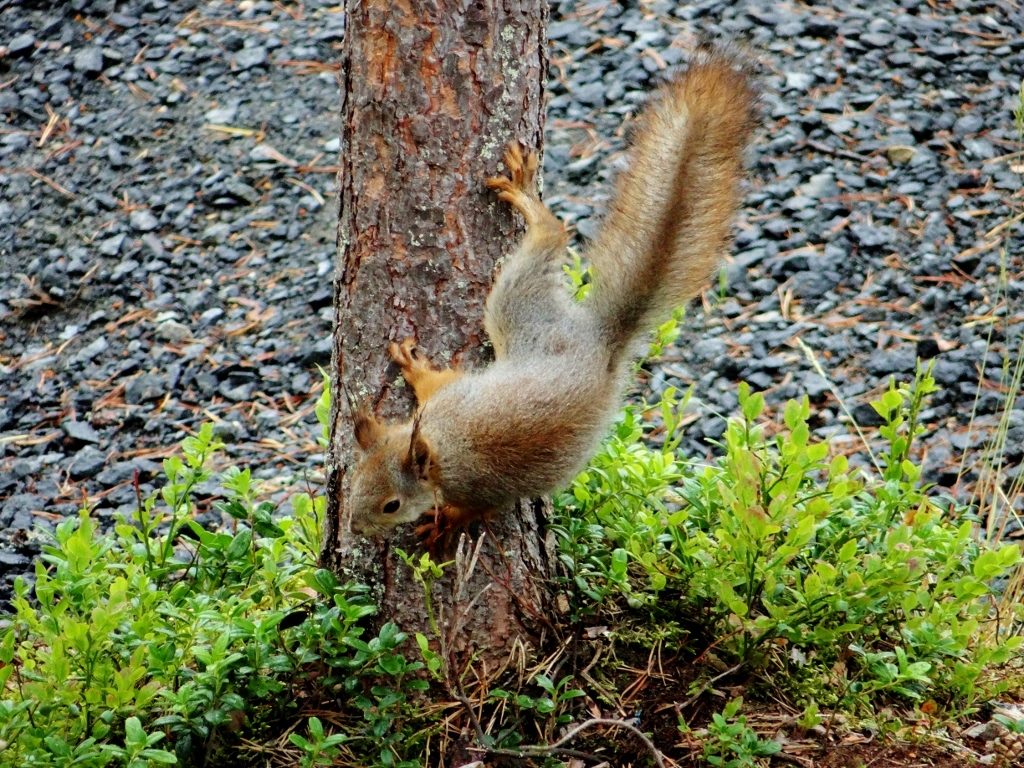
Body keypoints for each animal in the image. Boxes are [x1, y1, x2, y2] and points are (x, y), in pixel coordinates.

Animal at [347, 48, 757, 544]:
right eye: (354, 478)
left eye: (392, 505)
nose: (353, 525)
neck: (442, 446)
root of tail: (599, 342)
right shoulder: (445, 399)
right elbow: (435, 384)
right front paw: (414, 367)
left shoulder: (481, 483)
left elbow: (477, 507)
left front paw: (446, 522)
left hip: (518, 304)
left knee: (551, 234)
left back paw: (529, 201)